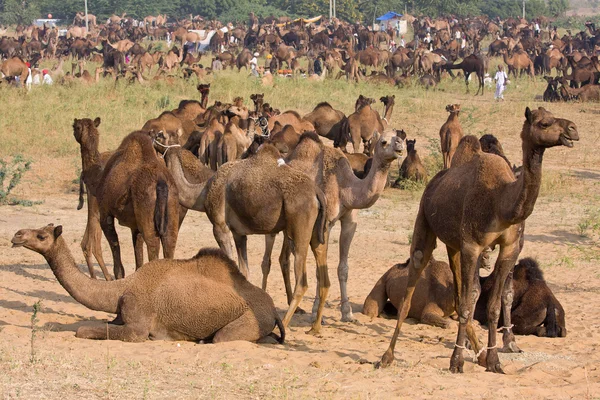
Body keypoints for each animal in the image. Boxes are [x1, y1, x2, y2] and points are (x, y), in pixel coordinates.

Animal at [11, 225, 284, 344]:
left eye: (41, 235)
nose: (17, 235)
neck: (121, 288)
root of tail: (273, 310)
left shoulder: (137, 323)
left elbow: (84, 330)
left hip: (248, 320)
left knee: (224, 337)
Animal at [95, 131, 180, 278]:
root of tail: (161, 182)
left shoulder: (105, 213)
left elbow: (117, 254)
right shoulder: (135, 225)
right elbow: (138, 254)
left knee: (153, 244)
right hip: (171, 212)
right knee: (169, 242)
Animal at [164, 142, 328, 330]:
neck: (203, 192)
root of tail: (317, 193)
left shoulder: (220, 226)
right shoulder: (239, 234)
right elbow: (243, 271)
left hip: (299, 225)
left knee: (302, 281)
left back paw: (284, 324)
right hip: (316, 232)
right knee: (322, 265)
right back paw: (315, 328)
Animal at [378, 108, 580, 374]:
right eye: (544, 123)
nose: (573, 129)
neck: (500, 202)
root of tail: (434, 181)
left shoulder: (509, 248)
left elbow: (494, 304)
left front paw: (494, 360)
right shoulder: (472, 247)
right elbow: (468, 302)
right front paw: (456, 361)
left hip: (453, 245)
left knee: (457, 289)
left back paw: (480, 352)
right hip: (425, 224)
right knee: (412, 286)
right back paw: (387, 356)